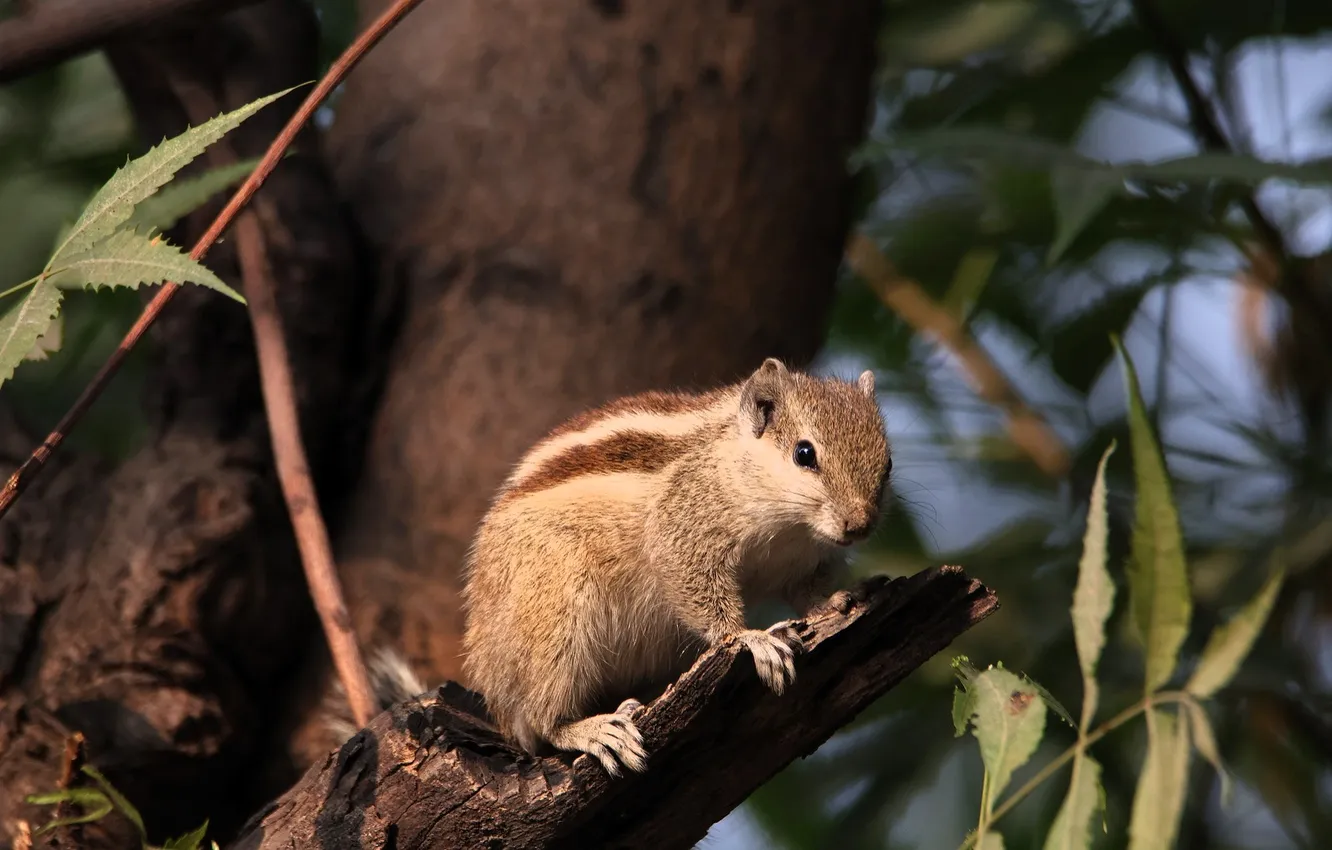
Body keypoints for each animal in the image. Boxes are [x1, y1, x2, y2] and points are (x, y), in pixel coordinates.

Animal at [322, 358, 892, 777]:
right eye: (804, 454)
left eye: (887, 465)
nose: (861, 526)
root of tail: (490, 682)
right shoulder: (684, 528)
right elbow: (698, 588)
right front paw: (751, 639)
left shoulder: (800, 559)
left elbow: (806, 589)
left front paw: (839, 598)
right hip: (555, 617)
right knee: (539, 722)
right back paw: (590, 730)